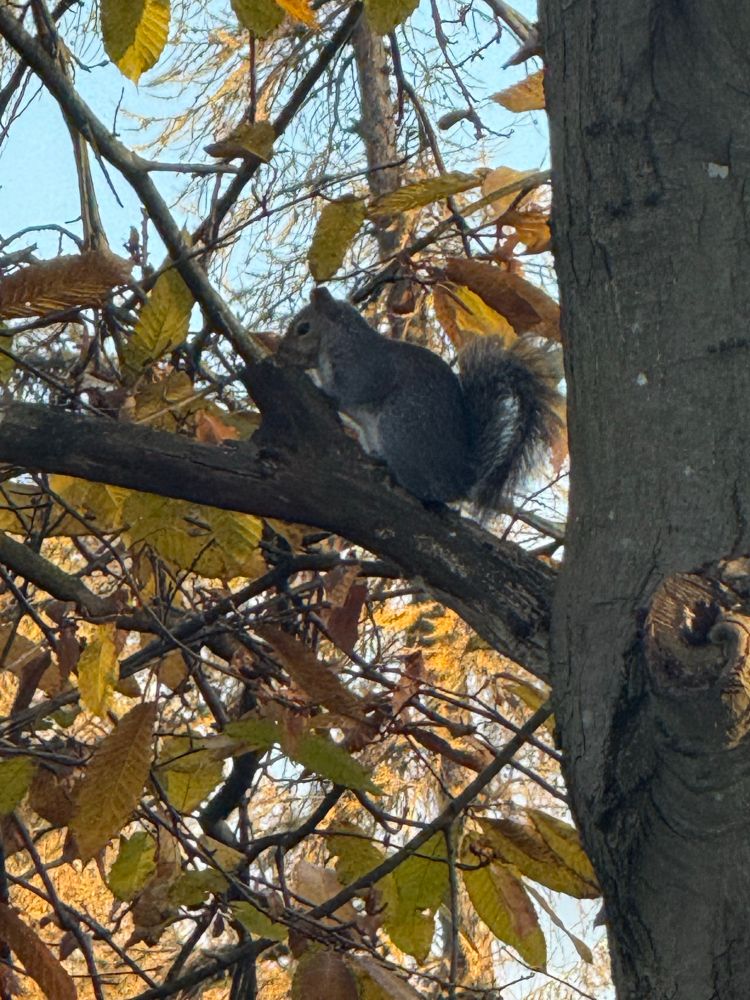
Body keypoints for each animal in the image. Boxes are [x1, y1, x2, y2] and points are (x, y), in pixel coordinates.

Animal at [276, 286, 563, 512]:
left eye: (303, 328)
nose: (281, 353)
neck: (340, 339)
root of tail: (458, 480)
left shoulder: (365, 368)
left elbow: (353, 392)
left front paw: (324, 391)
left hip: (399, 426)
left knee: (423, 490)